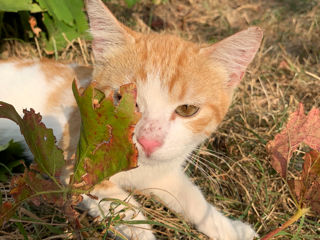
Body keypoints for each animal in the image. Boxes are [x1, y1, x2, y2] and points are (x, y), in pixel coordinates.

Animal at [0, 0, 262, 240]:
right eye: (122, 98)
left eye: (187, 109)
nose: (148, 141)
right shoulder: (73, 168)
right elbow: (121, 206)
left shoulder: (164, 171)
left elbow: (193, 198)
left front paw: (230, 228)